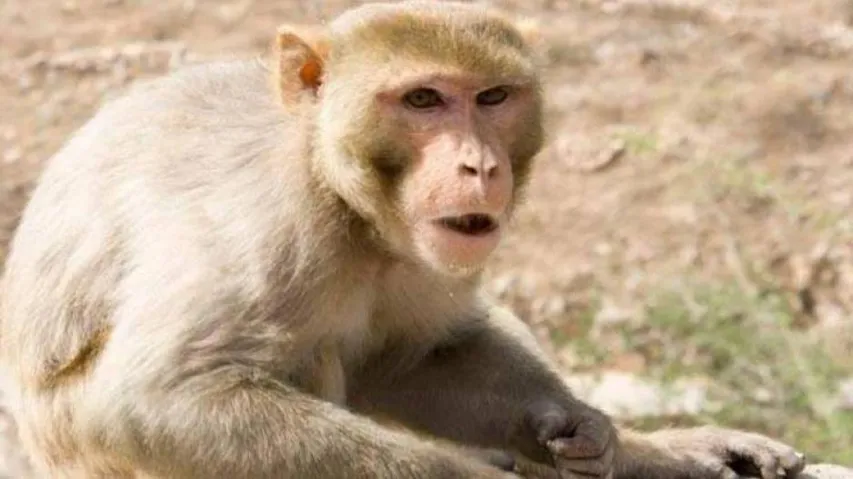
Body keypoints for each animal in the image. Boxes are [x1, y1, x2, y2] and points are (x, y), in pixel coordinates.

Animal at [0, 2, 807, 478]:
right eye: (423, 99)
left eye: (492, 97)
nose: (479, 165)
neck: (343, 200)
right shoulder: (261, 228)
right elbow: (156, 397)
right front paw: (478, 474)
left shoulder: (427, 253)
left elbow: (417, 358)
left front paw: (588, 427)